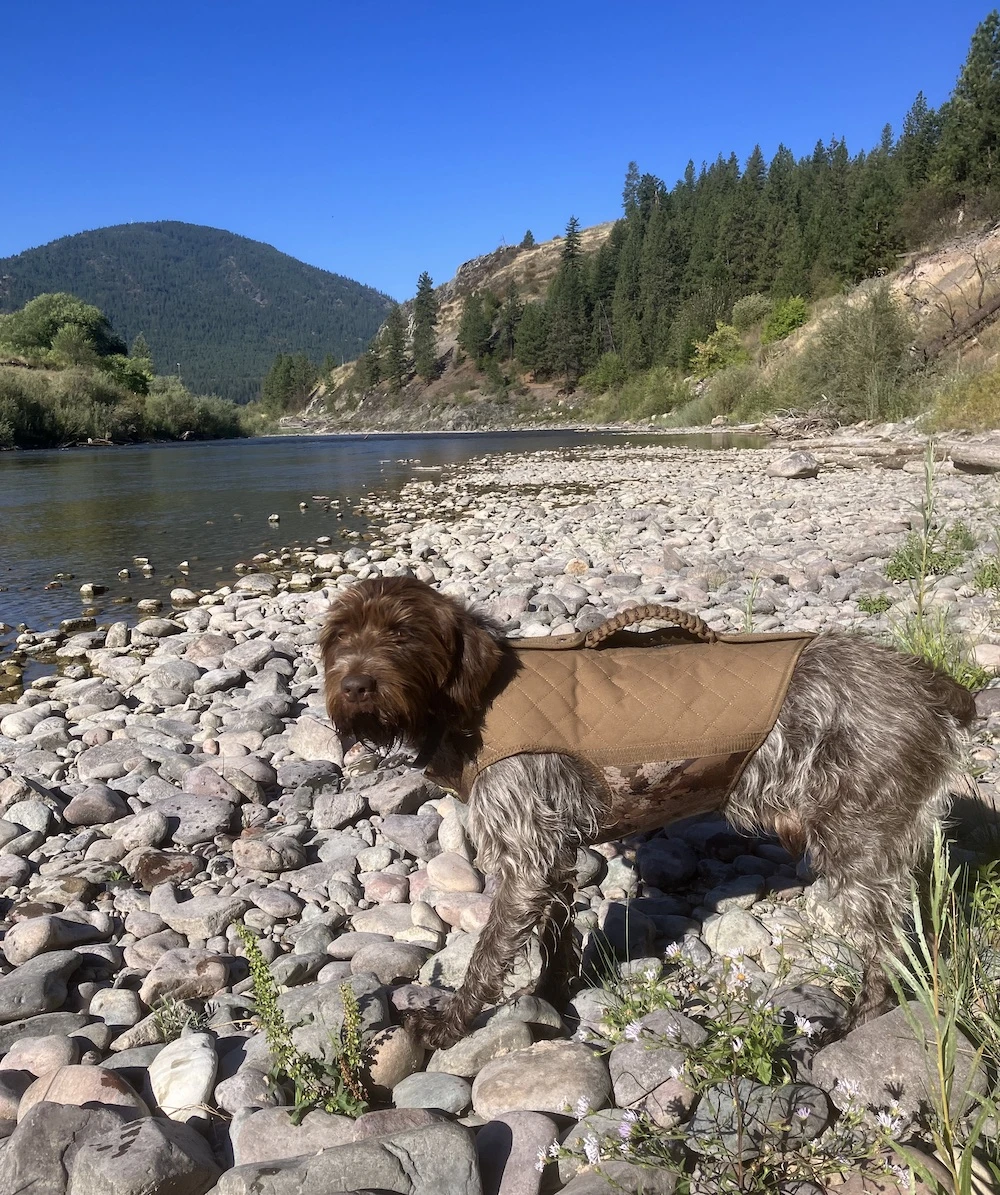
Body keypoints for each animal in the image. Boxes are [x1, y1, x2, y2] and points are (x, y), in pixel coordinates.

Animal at [322, 573, 974, 1042]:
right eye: (339, 638)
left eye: (403, 634)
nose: (353, 686)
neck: (473, 702)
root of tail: (923, 680)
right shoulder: (555, 854)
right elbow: (555, 935)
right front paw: (554, 1000)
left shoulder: (527, 854)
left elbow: (488, 955)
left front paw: (452, 1023)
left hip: (859, 844)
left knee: (888, 948)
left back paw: (857, 1023)